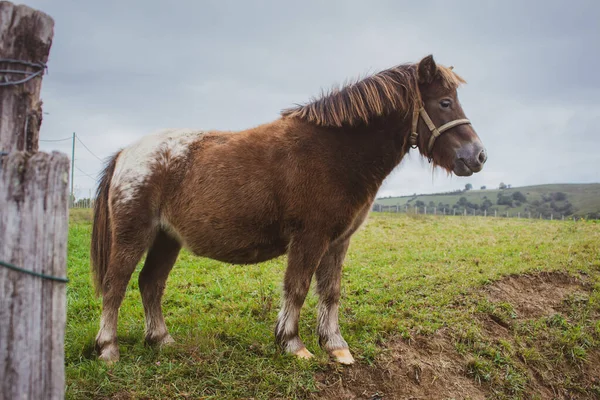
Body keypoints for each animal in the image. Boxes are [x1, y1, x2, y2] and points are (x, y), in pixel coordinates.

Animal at [92, 55, 488, 366]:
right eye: (445, 103)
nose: (478, 156)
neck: (335, 152)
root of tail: (126, 153)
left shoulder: (337, 241)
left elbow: (330, 291)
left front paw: (336, 347)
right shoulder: (310, 238)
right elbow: (297, 288)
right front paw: (293, 344)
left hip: (166, 239)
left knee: (150, 284)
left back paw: (161, 340)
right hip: (133, 235)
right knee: (116, 286)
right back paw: (108, 349)